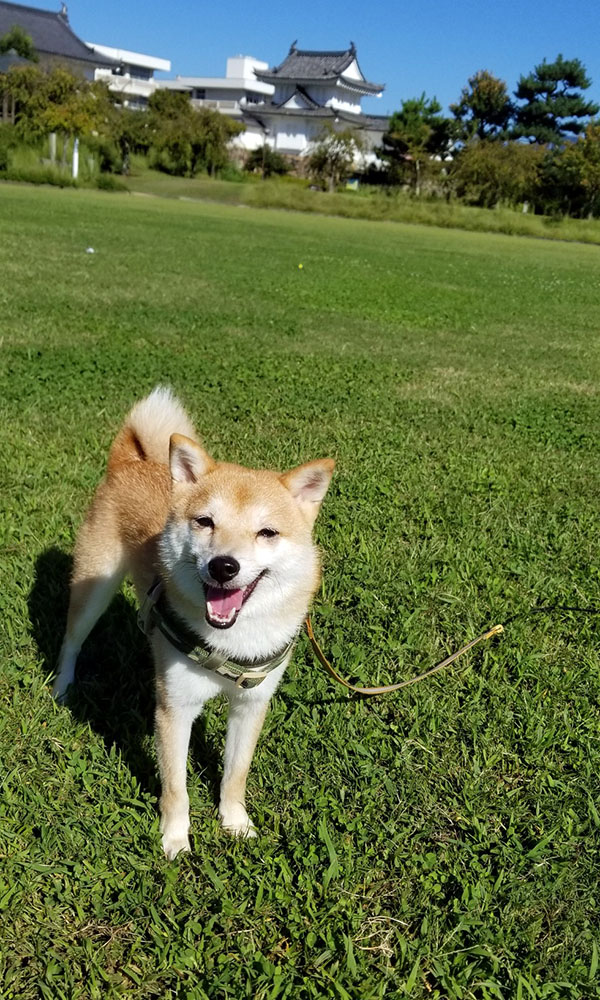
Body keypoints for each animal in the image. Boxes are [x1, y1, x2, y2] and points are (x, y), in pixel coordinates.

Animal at [52, 386, 336, 856]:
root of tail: (131, 462)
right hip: (92, 589)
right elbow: (176, 788)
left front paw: (235, 823)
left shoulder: (251, 705)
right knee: (71, 642)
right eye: (205, 522)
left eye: (267, 533)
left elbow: (235, 774)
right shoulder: (175, 710)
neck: (231, 642)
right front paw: (175, 840)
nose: (224, 566)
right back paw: (61, 686)